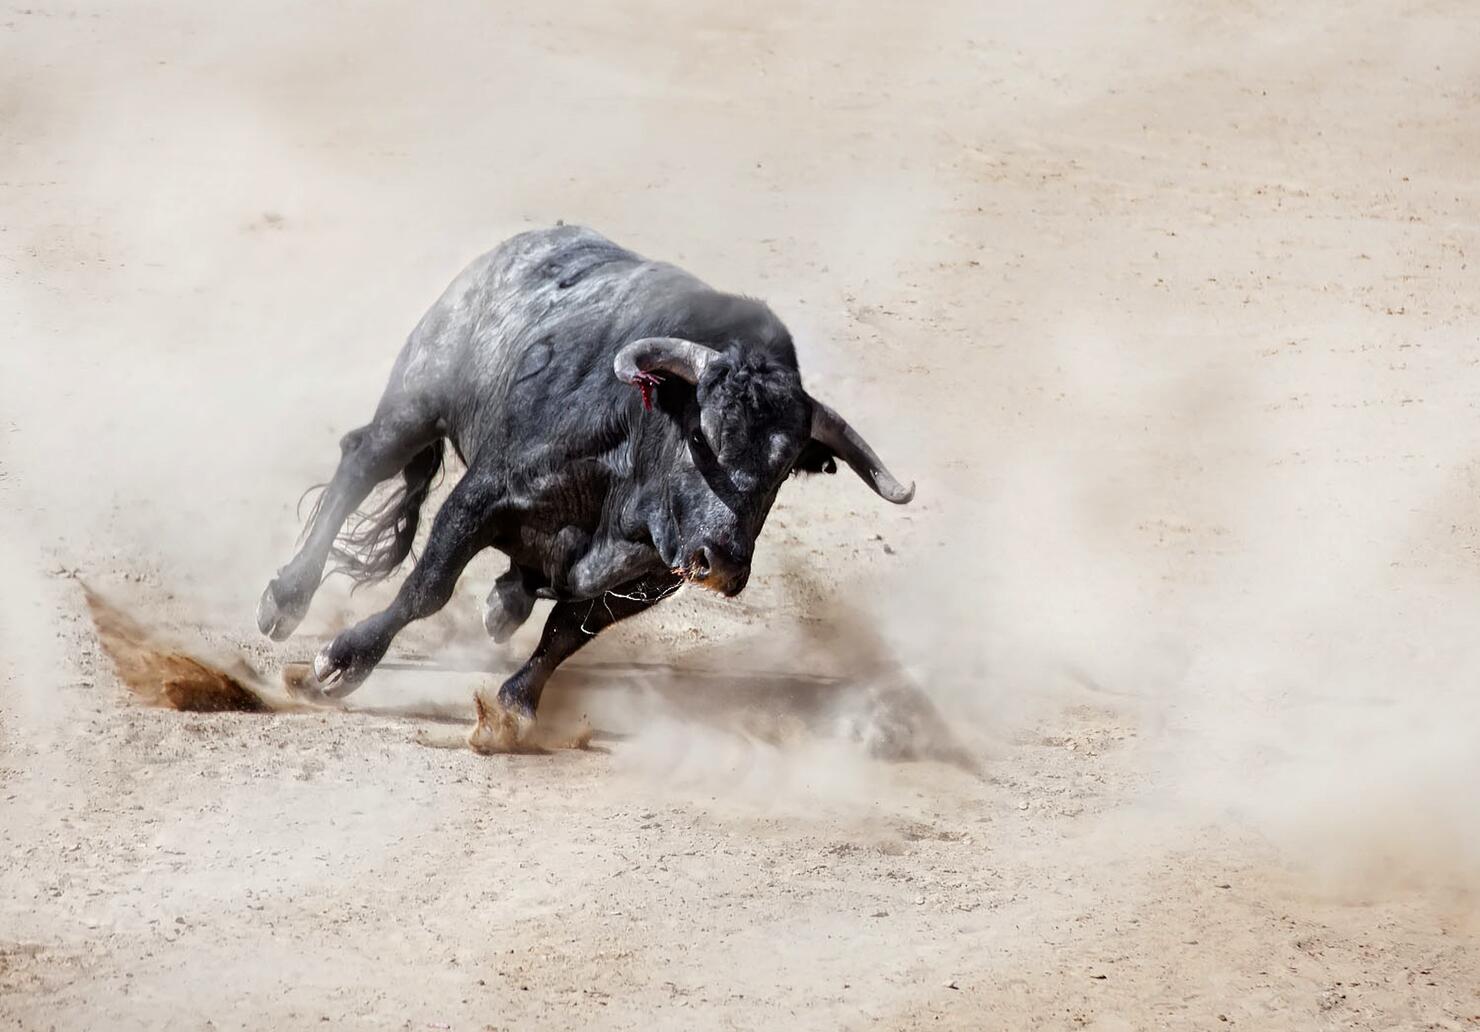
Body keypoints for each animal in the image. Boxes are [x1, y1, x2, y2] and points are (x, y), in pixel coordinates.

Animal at [254, 223, 911, 740]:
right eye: (703, 434)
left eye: (781, 468)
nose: (722, 561)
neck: (624, 498)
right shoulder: (482, 497)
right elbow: (428, 587)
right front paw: (341, 663)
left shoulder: (647, 580)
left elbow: (566, 632)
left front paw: (512, 711)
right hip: (417, 400)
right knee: (361, 462)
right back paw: (285, 599)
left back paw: (506, 600)